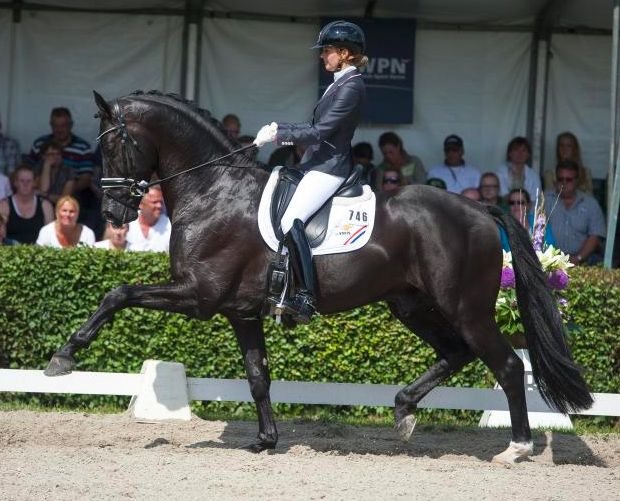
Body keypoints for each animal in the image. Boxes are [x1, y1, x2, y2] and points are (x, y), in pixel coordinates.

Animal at [45, 90, 592, 463]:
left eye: (113, 146)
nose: (113, 215)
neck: (213, 190)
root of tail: (480, 210)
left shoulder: (199, 296)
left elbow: (118, 292)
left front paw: (63, 358)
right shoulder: (240, 311)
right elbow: (258, 375)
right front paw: (266, 440)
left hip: (466, 308)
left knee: (506, 365)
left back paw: (515, 448)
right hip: (411, 303)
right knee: (455, 353)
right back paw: (403, 412)